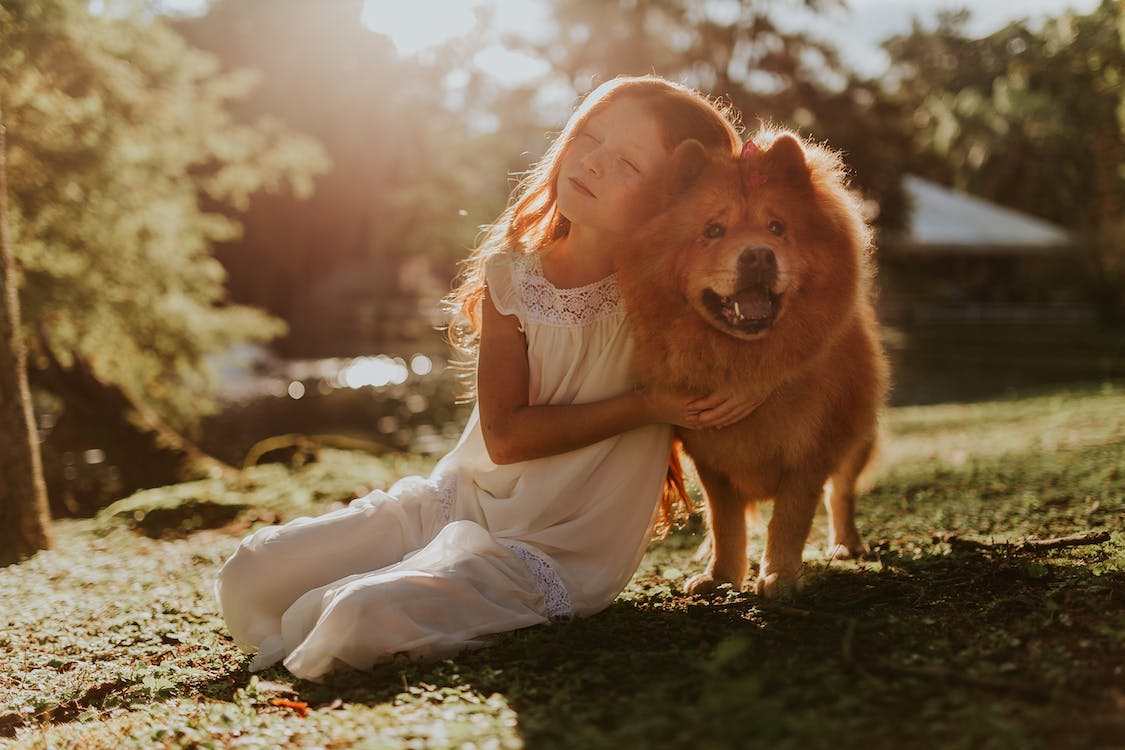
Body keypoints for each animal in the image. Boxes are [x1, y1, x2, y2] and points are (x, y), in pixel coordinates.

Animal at [616, 129, 886, 598]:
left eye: (777, 227)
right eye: (713, 230)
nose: (758, 255)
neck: (744, 359)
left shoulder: (811, 452)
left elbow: (791, 519)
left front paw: (779, 576)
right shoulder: (710, 458)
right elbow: (725, 521)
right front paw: (721, 574)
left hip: (857, 436)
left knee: (842, 493)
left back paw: (846, 545)